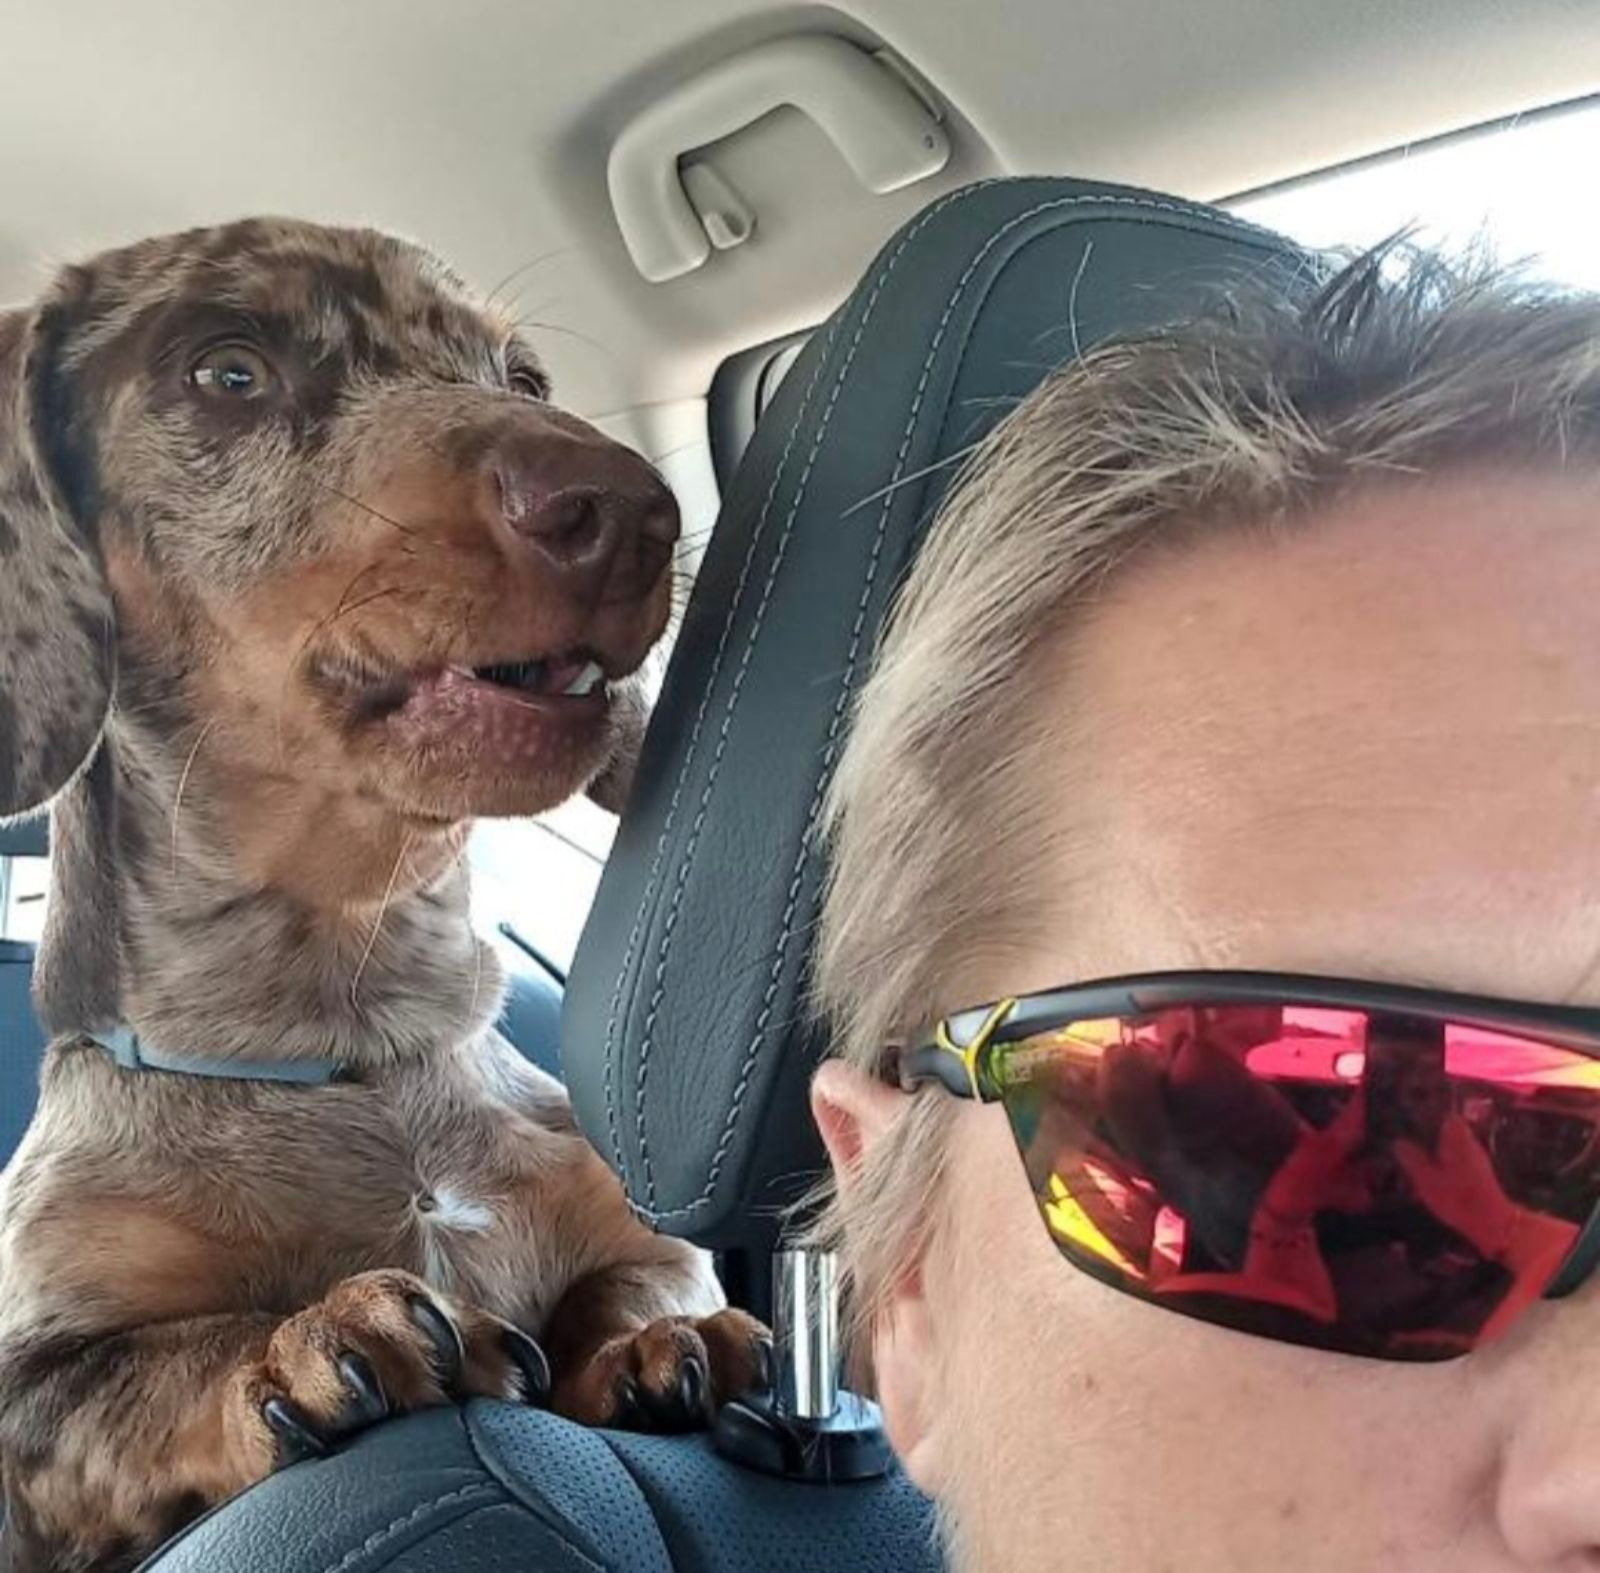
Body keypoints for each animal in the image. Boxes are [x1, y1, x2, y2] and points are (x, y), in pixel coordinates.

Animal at [0, 218, 765, 1573]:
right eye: (227, 370)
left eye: (522, 375)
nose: (634, 508)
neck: (354, 1036)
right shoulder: (28, 1398)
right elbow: (144, 1364)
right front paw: (302, 1339)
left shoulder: (643, 1231)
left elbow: (641, 1276)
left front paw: (644, 1340)